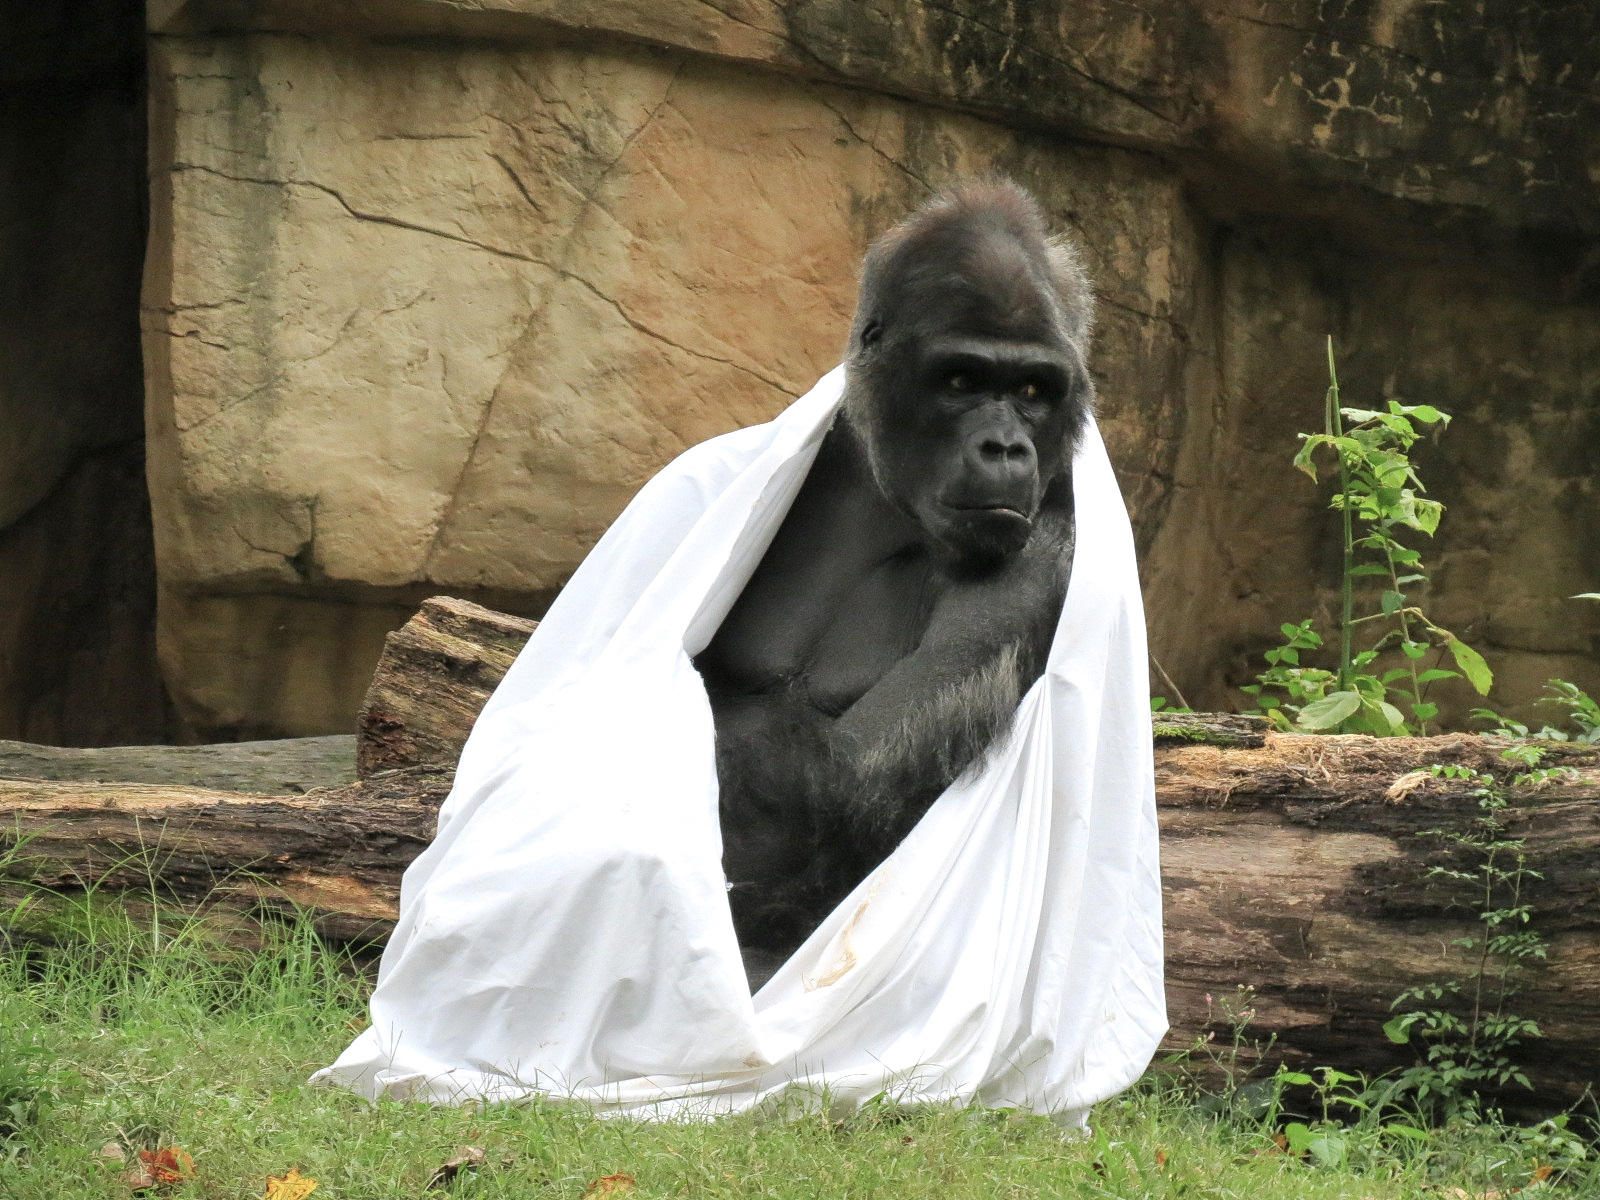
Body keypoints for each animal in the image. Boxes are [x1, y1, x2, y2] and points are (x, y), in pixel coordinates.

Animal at [691, 177, 1096, 984]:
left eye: (1035, 389)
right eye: (962, 379)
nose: (1006, 447)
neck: (889, 486)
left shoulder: (1051, 538)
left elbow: (848, 772)